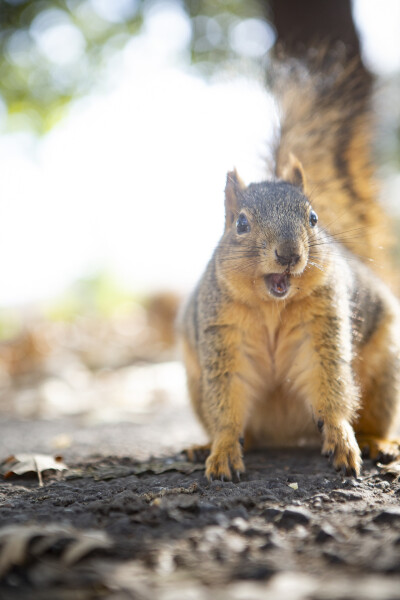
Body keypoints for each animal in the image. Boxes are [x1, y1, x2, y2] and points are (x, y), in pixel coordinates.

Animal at [180, 51, 400, 482]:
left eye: (313, 218)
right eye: (240, 224)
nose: (289, 254)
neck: (271, 306)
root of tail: (284, 434)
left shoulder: (323, 322)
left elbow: (328, 383)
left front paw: (342, 439)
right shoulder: (221, 332)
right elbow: (227, 399)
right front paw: (223, 450)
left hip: (386, 371)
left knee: (374, 415)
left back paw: (378, 442)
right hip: (195, 382)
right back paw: (204, 446)